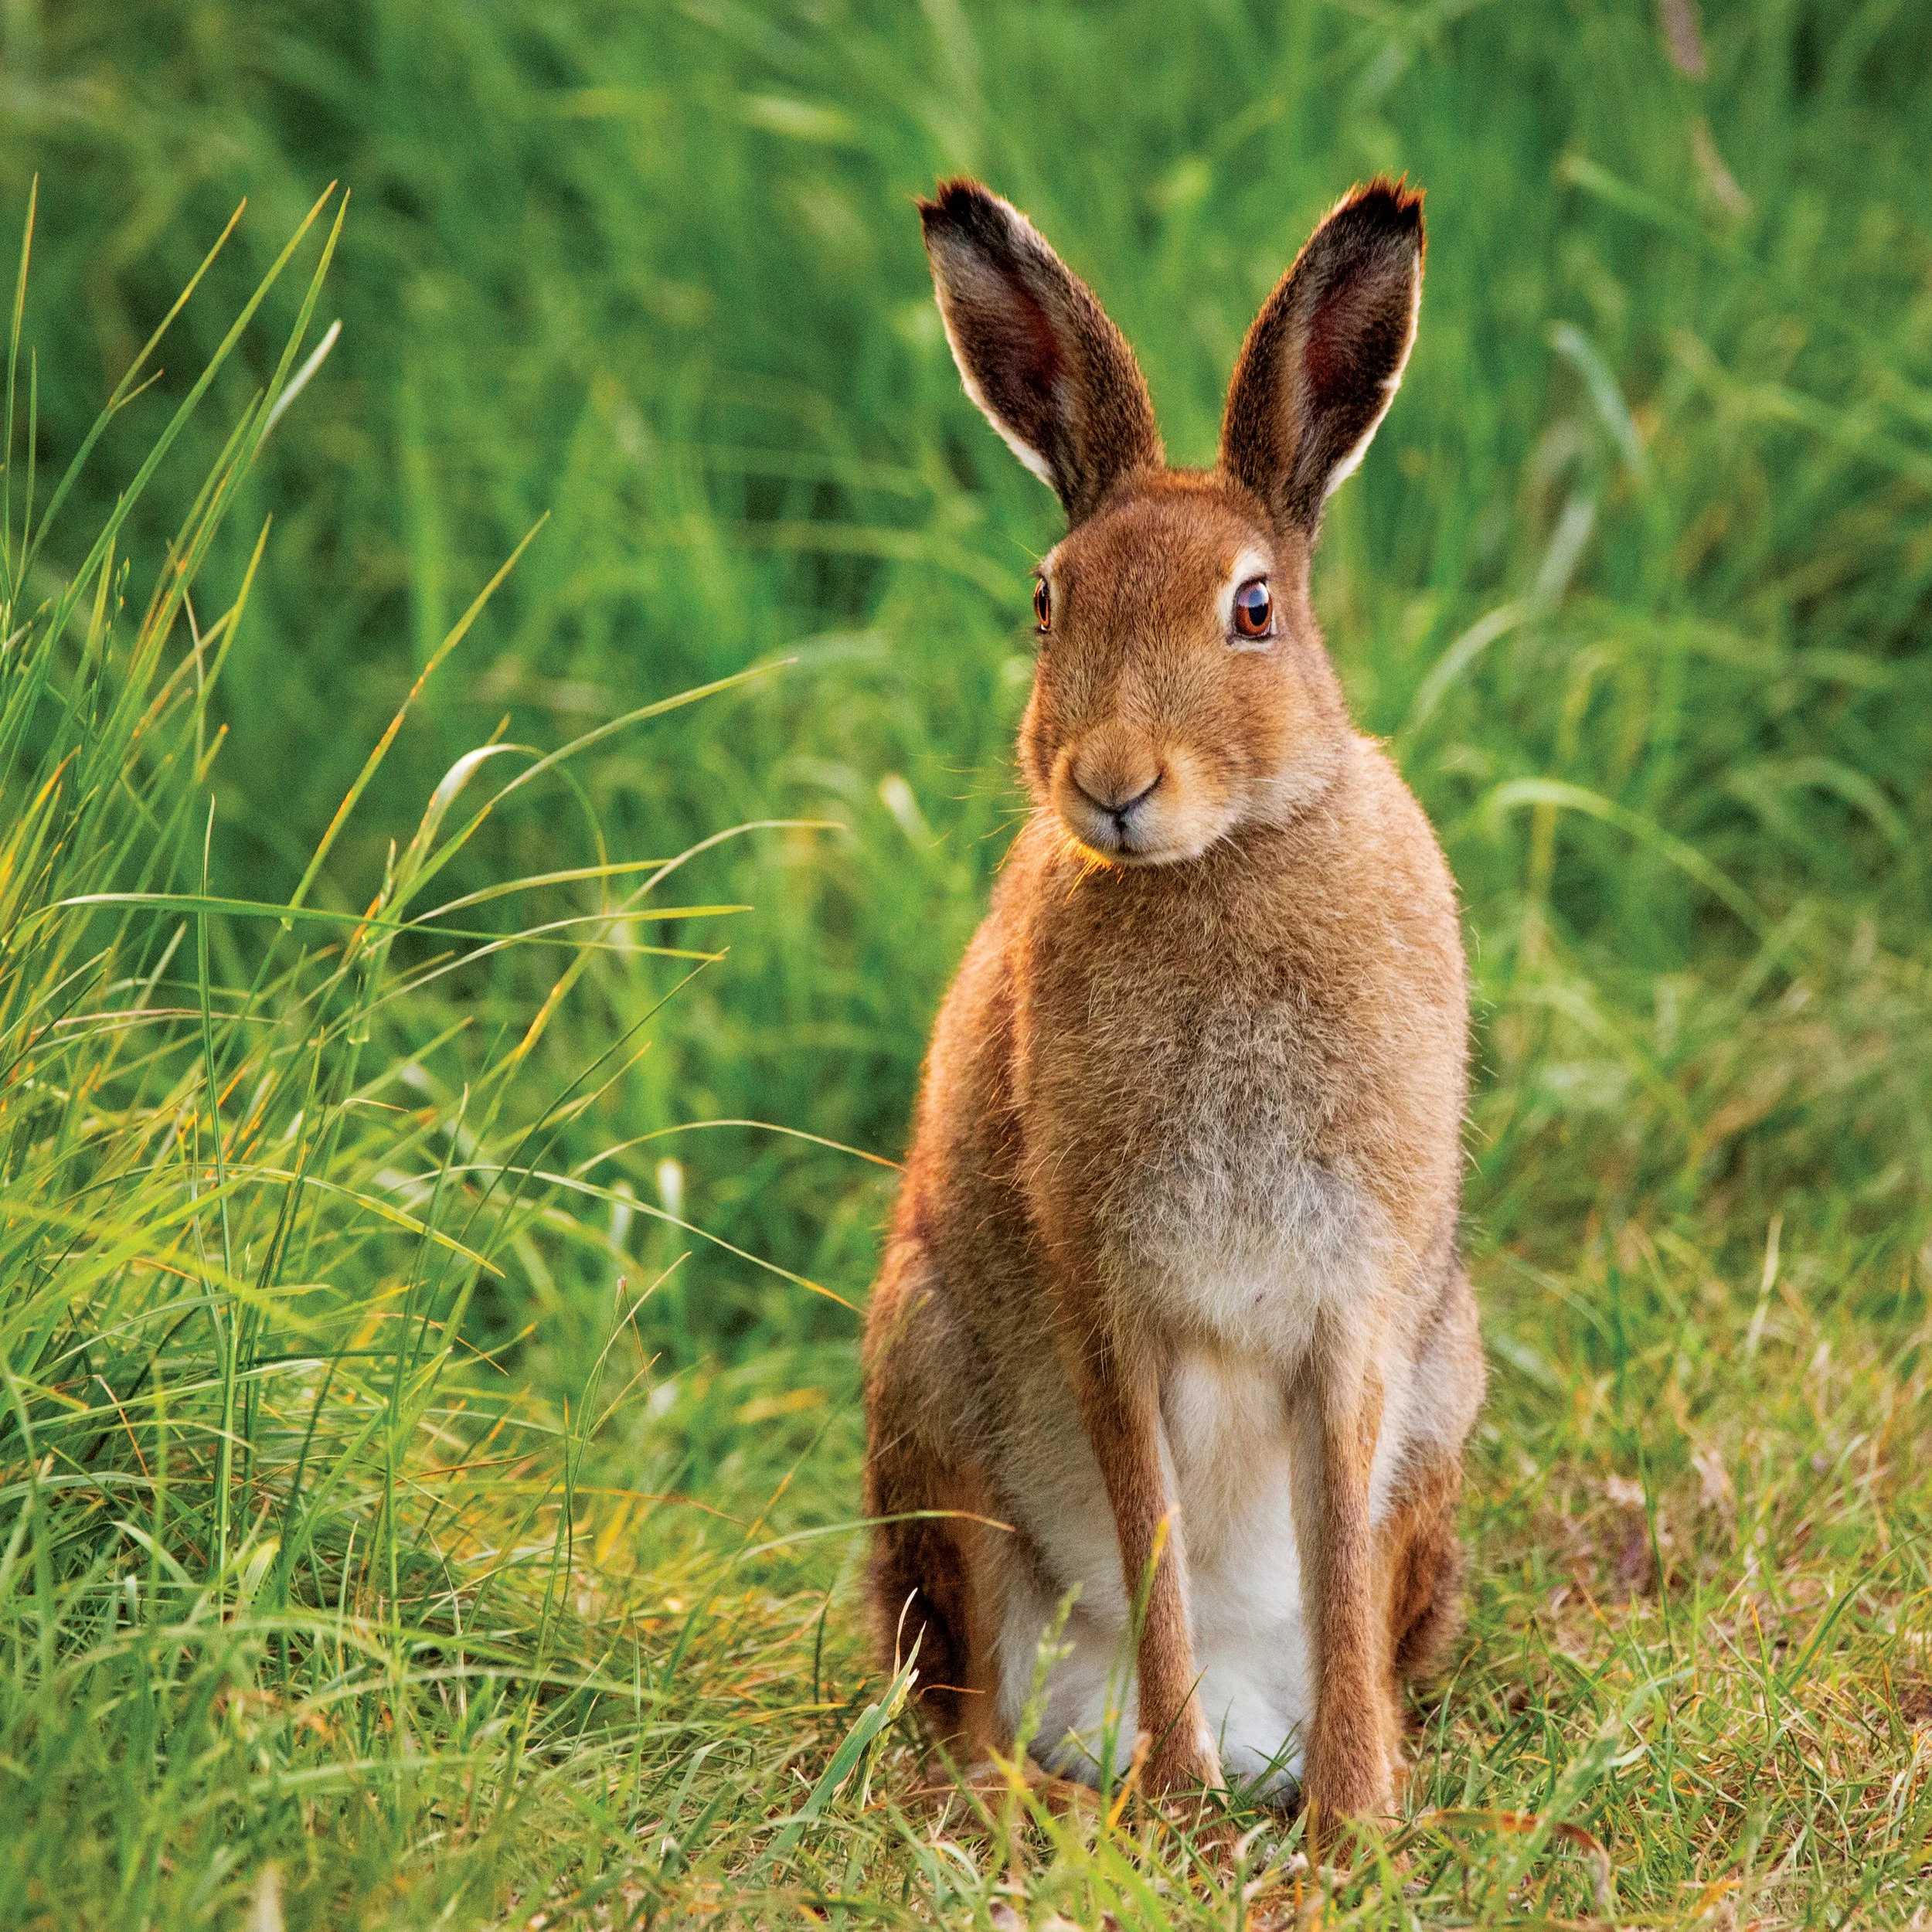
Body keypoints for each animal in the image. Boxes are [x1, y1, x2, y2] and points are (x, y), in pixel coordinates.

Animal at [861, 174, 1484, 1823]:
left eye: (1253, 611)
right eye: (1046, 602)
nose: (1112, 782)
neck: (1224, 860)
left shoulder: (1354, 1311)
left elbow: (1332, 1550)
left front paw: (1354, 1821)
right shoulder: (1105, 1299)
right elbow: (1151, 1539)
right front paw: (1187, 1807)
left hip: (1447, 1402)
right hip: (931, 1395)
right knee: (973, 1685)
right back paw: (1072, 1794)